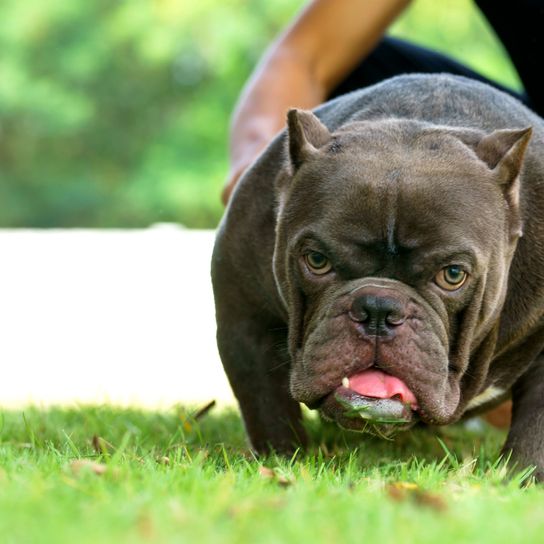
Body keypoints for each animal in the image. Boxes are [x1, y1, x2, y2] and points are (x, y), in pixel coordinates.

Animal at [211, 74, 544, 478]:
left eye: (453, 275)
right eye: (317, 260)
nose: (378, 309)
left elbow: (535, 428)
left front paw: (525, 478)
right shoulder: (246, 319)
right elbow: (267, 407)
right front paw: (280, 463)